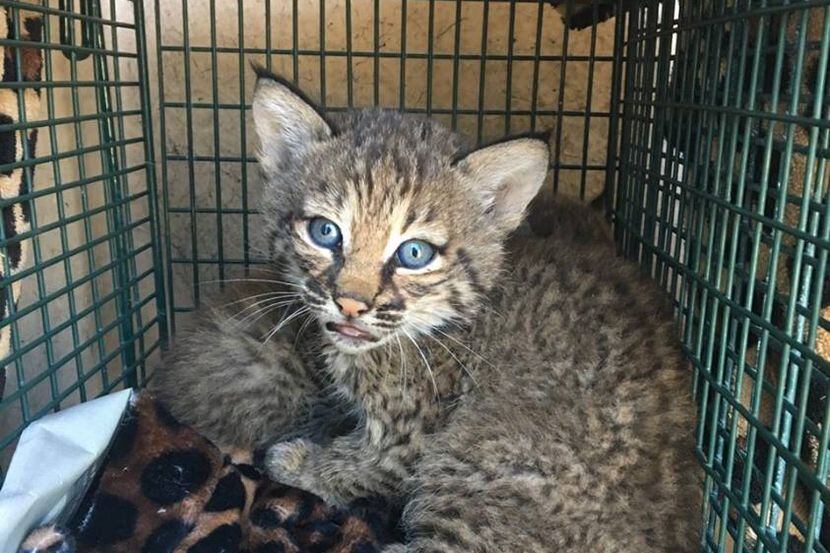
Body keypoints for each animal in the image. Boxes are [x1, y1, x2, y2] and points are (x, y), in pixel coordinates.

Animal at [151, 69, 704, 552]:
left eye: (414, 253)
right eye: (325, 232)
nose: (350, 304)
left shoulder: (408, 442)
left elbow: (352, 466)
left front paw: (294, 462)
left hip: (478, 457)